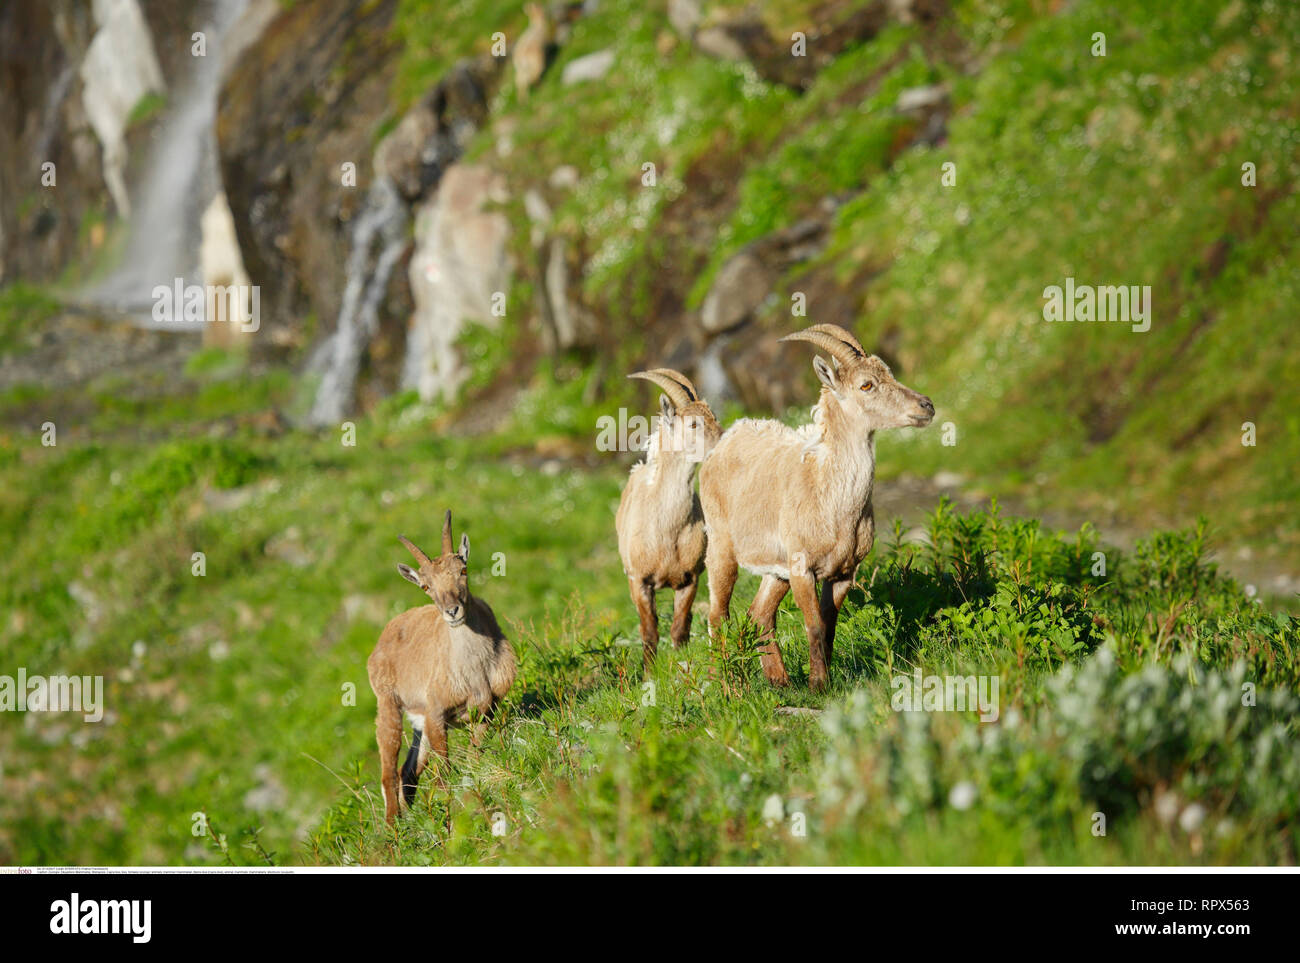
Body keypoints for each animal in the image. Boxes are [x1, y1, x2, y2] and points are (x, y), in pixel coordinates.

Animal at [366, 514, 512, 821]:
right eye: (426, 586)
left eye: (463, 570)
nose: (452, 611)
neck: (475, 668)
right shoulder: (436, 714)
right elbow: (444, 771)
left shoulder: (486, 709)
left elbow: (474, 755)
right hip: (388, 705)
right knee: (389, 771)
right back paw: (394, 827)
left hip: (418, 722)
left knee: (407, 770)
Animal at [616, 369, 728, 670]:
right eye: (692, 423)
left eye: (713, 415)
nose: (725, 440)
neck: (667, 531)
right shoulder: (639, 580)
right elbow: (649, 632)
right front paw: (648, 672)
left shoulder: (690, 578)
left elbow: (679, 627)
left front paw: (681, 661)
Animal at [702, 326, 935, 686]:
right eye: (866, 384)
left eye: (889, 373)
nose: (926, 405)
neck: (833, 500)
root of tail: (722, 443)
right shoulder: (802, 568)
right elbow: (812, 625)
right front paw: (818, 685)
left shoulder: (842, 572)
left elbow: (828, 628)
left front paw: (823, 680)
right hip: (721, 548)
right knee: (717, 614)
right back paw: (724, 685)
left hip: (776, 570)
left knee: (759, 614)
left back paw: (779, 681)